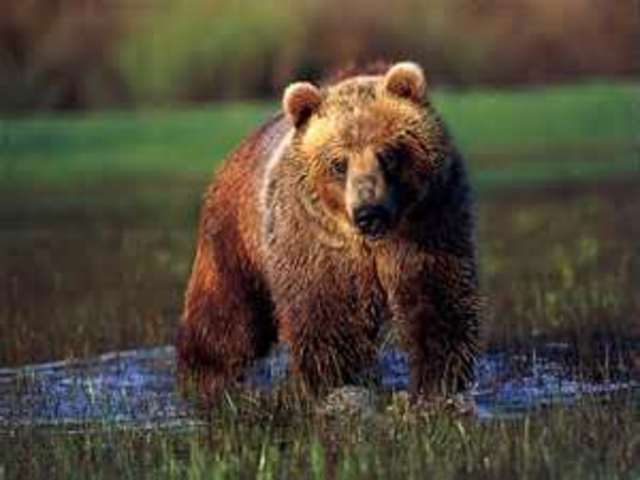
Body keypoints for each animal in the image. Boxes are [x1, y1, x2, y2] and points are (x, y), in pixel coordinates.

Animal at [177, 61, 481, 400]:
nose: (368, 213)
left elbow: (436, 300)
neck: (371, 244)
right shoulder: (316, 243)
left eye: (388, 153)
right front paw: (335, 382)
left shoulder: (428, 224)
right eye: (339, 163)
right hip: (235, 238)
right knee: (226, 316)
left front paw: (439, 382)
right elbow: (328, 318)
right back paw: (204, 377)